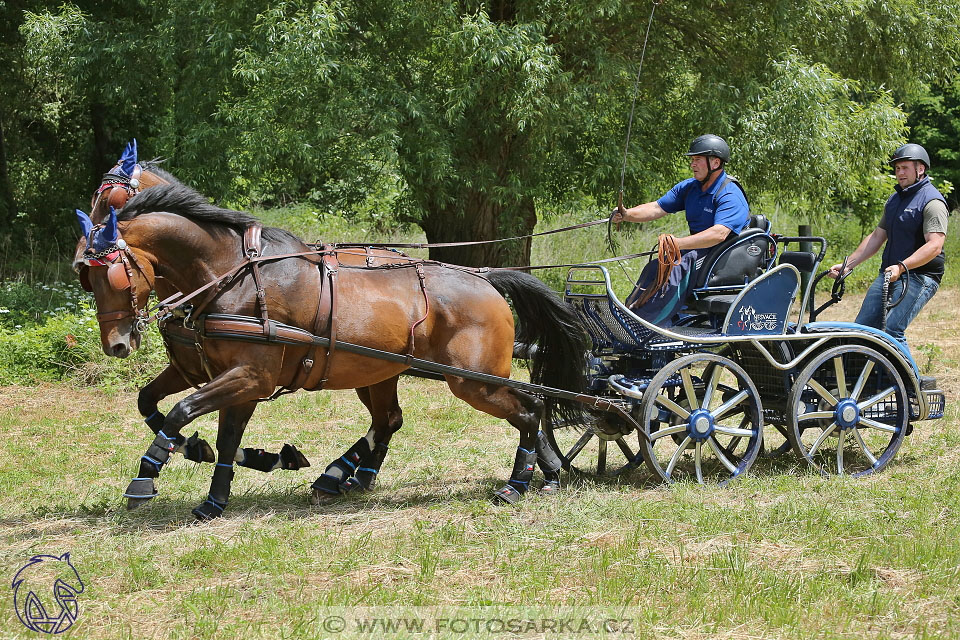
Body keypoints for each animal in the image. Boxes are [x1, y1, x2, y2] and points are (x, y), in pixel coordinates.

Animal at [73, 181, 584, 520]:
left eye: (112, 273)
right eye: (85, 277)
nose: (117, 344)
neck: (232, 277)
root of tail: (485, 279)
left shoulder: (248, 377)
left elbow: (181, 412)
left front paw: (148, 474)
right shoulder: (218, 374)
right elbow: (188, 419)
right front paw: (217, 490)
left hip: (473, 381)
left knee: (530, 407)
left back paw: (521, 482)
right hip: (381, 374)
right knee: (394, 419)